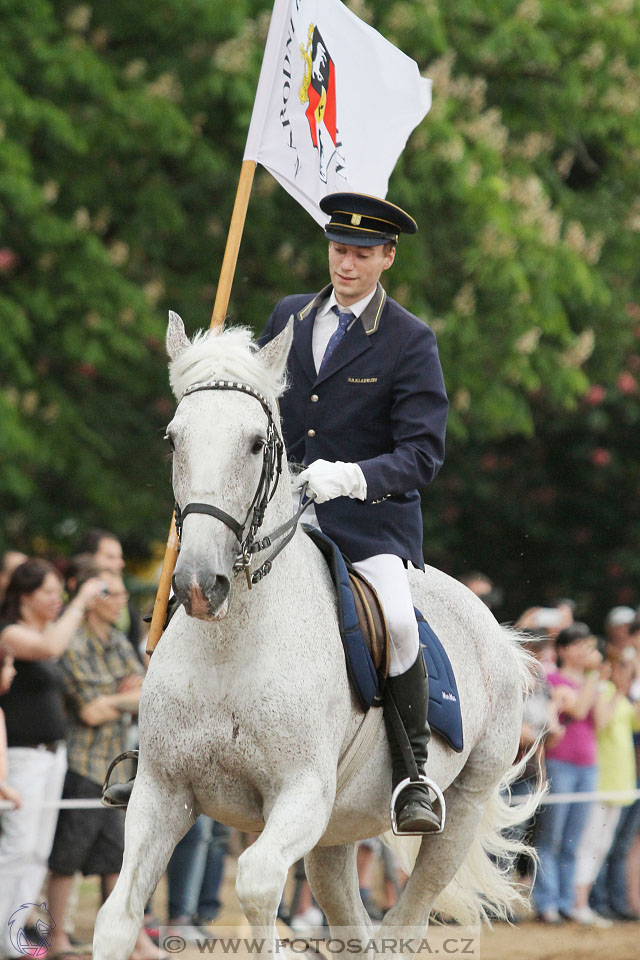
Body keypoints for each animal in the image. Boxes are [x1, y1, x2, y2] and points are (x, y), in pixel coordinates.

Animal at [94, 312, 540, 956]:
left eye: (256, 443)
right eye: (173, 440)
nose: (200, 584)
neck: (229, 652)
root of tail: (494, 630)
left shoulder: (300, 794)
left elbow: (255, 883)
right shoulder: (160, 792)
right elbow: (117, 916)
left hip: (458, 810)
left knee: (406, 920)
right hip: (337, 832)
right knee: (350, 917)